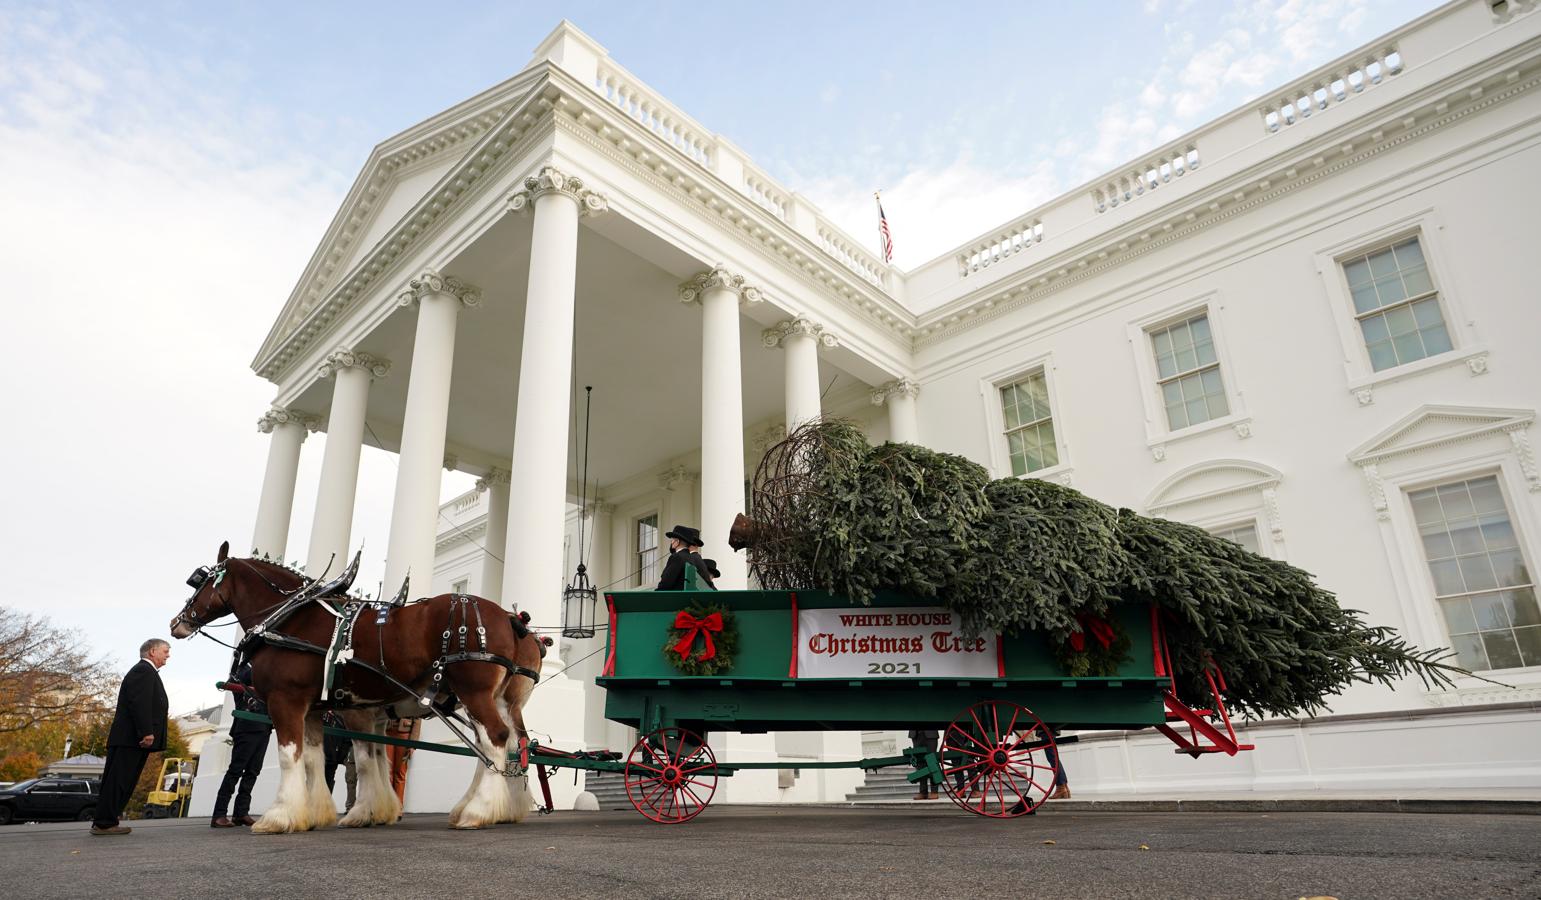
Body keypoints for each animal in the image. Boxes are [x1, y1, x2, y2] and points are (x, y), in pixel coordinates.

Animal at [171, 542, 545, 832]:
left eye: (199, 581)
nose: (177, 622)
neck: (292, 619)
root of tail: (509, 618)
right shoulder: (323, 709)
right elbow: (320, 759)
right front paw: (320, 813)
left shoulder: (290, 701)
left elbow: (300, 757)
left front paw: (280, 816)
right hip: (502, 700)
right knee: (510, 744)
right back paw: (501, 807)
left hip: (474, 692)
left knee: (494, 740)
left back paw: (478, 810)